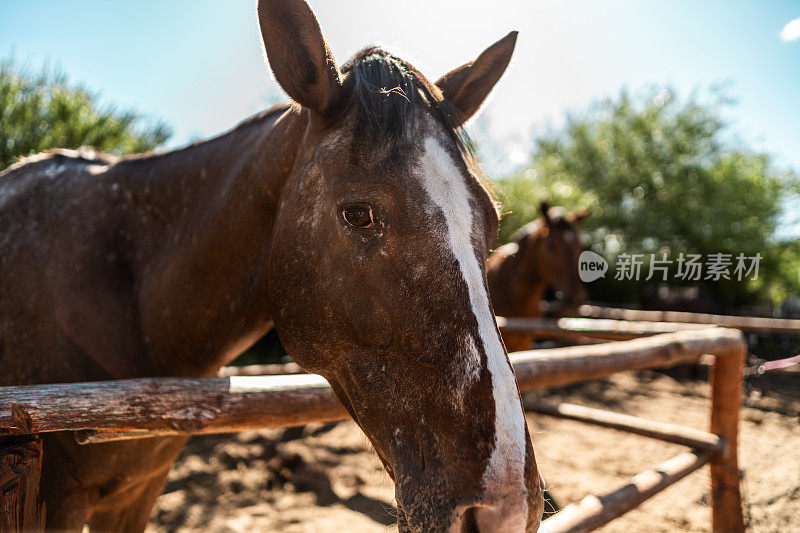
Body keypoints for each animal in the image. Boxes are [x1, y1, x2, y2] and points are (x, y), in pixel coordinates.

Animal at [0, 2, 544, 528]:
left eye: (492, 220)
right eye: (358, 214)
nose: (504, 509)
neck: (136, 305)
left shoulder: (139, 492)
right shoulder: (62, 501)